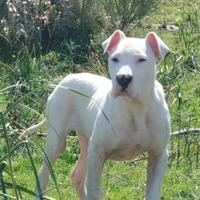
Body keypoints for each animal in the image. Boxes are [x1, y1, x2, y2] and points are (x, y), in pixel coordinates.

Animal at [23, 30, 170, 200]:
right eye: (115, 59)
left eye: (141, 59)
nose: (123, 78)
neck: (135, 107)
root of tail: (64, 80)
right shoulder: (97, 152)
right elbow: (95, 190)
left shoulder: (159, 155)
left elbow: (152, 192)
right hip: (57, 143)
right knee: (43, 174)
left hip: (86, 144)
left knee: (76, 175)